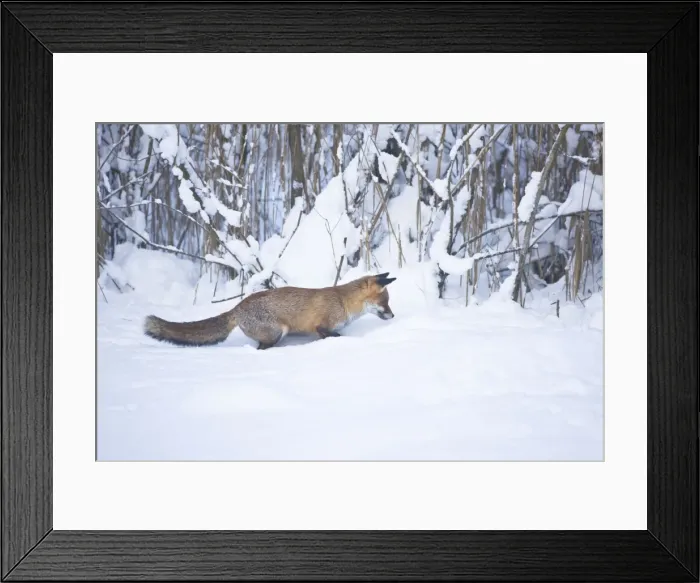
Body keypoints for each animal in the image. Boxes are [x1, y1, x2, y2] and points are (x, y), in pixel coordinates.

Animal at [143, 272, 396, 350]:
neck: (343, 302)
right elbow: (333, 335)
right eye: (384, 302)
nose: (392, 316)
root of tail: (237, 307)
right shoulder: (321, 326)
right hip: (277, 332)